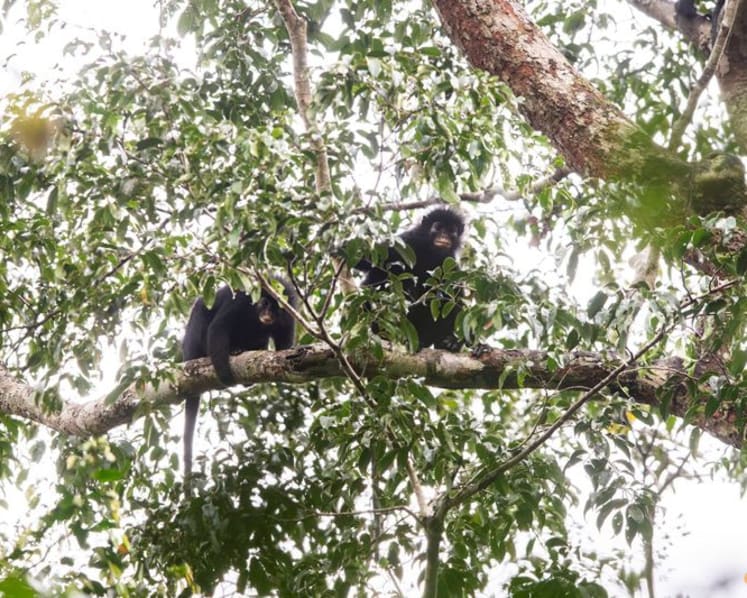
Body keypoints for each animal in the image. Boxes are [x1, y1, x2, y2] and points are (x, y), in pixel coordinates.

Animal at [180, 276, 297, 480]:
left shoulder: (289, 314)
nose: (268, 313)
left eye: (277, 308)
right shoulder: (241, 300)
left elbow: (284, 348)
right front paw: (225, 375)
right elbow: (218, 327)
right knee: (203, 312)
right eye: (265, 303)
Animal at [355, 207, 466, 351]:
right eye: (438, 227)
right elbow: (368, 259)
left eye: (452, 231)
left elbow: (455, 298)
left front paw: (454, 341)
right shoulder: (408, 241)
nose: (444, 236)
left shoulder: (450, 262)